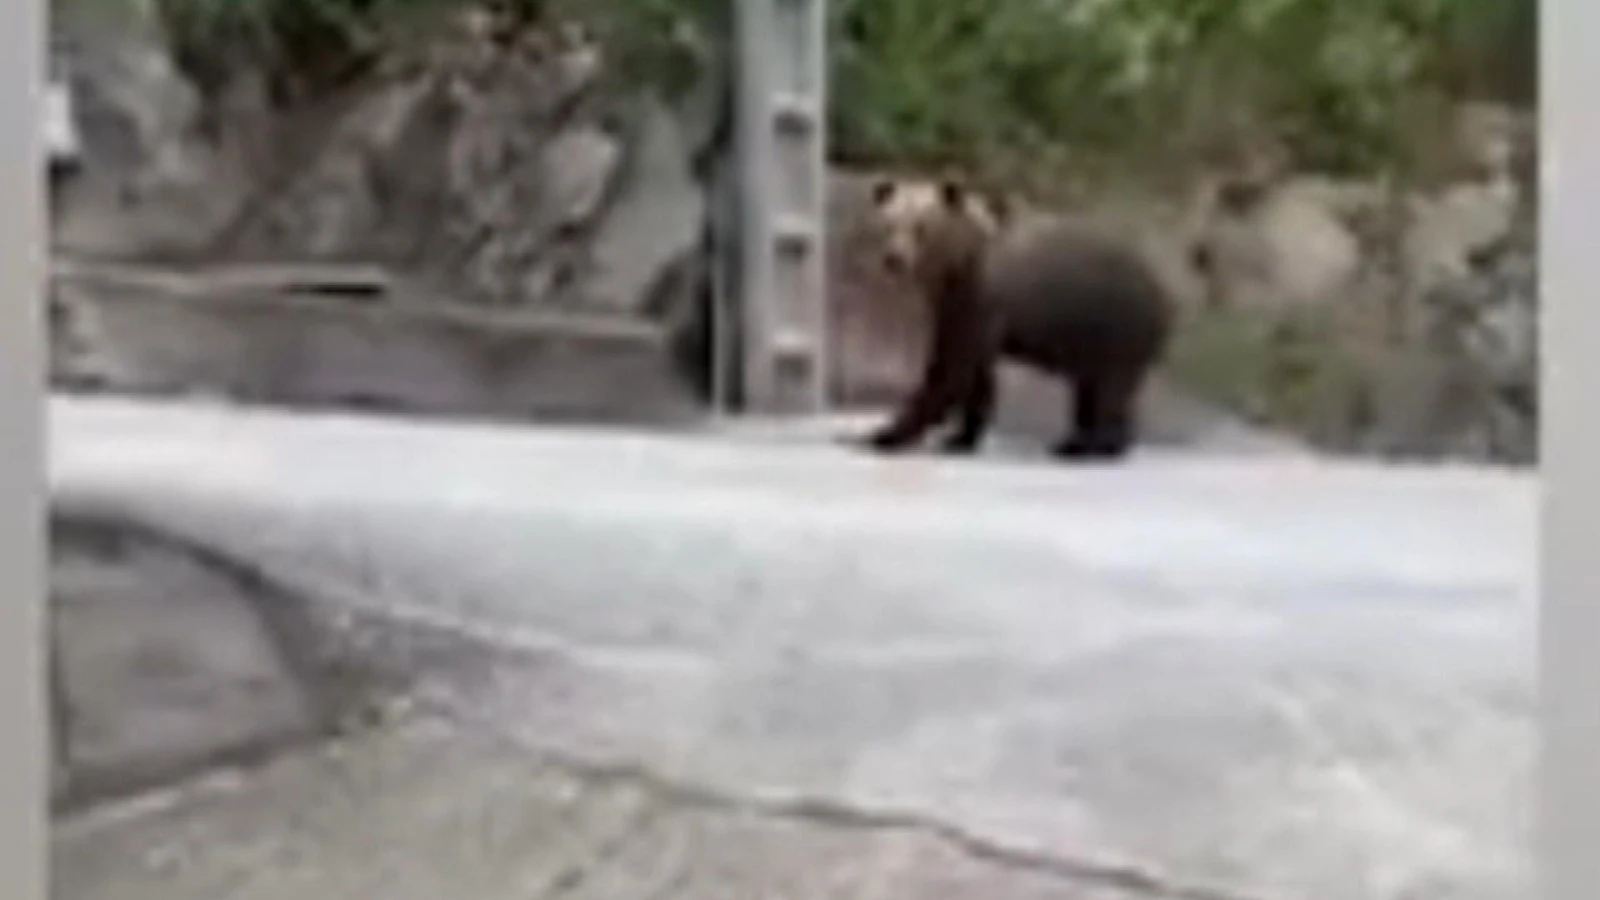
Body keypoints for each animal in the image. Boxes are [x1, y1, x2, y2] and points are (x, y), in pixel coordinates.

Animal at [857, 177, 1174, 461]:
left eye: (922, 228)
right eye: (888, 225)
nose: (894, 259)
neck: (957, 265)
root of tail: (1165, 292)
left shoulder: (982, 296)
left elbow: (951, 369)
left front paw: (884, 434)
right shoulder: (954, 307)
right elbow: (975, 373)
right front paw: (960, 437)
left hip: (1117, 324)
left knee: (1111, 387)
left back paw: (1095, 447)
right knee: (1092, 388)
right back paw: (1076, 442)